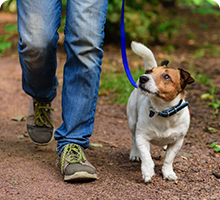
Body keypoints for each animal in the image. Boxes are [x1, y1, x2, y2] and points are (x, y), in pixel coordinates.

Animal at [126, 41, 195, 183]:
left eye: (166, 76)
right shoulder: (142, 137)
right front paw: (147, 172)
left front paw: (168, 173)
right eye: (150, 72)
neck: (162, 110)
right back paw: (135, 153)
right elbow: (146, 156)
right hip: (132, 122)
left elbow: (169, 159)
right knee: (133, 139)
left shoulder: (177, 142)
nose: (143, 77)